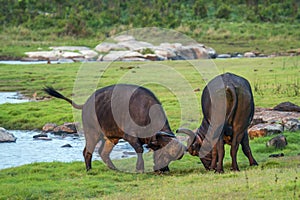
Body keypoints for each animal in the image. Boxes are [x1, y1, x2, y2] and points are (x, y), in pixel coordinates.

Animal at [44, 83, 185, 173]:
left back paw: (114, 169)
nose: (163, 170)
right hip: (92, 133)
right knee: (87, 151)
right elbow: (139, 150)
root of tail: (85, 104)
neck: (144, 112)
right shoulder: (130, 137)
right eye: (163, 152)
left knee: (103, 153)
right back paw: (89, 170)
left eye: (169, 158)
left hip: (111, 138)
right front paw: (139, 169)